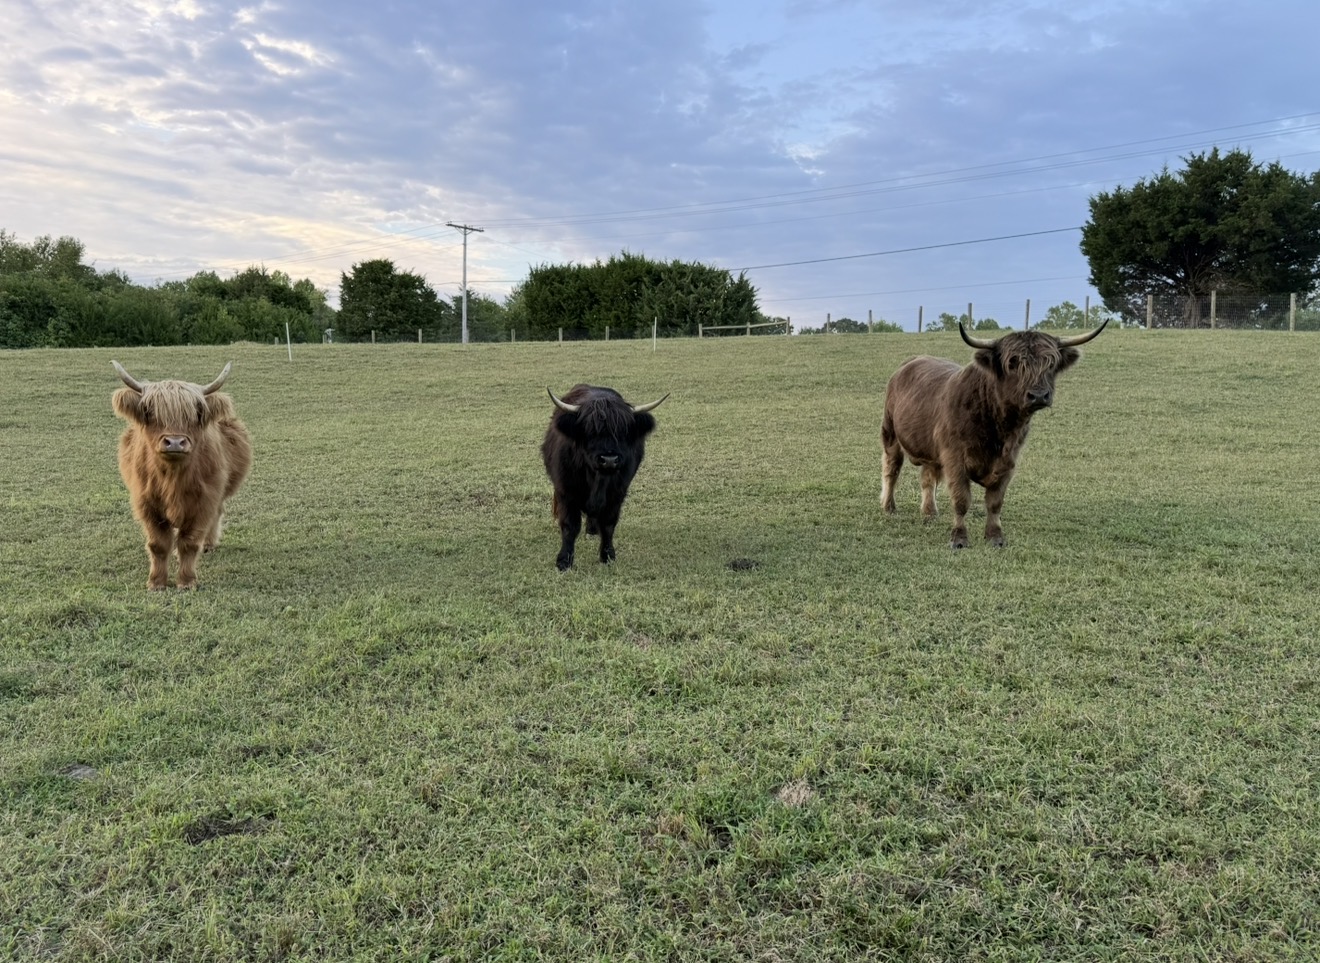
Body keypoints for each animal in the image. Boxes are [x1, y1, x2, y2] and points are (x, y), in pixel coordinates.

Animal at [110, 361, 253, 590]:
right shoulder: (146, 503)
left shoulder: (205, 501)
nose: (175, 442)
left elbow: (190, 542)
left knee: (216, 514)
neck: (172, 479)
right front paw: (156, 582)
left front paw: (186, 582)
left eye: (196, 413)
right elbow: (158, 544)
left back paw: (208, 544)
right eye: (149, 411)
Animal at [541, 384, 668, 571]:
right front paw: (564, 561)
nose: (609, 459)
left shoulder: (618, 493)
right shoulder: (566, 491)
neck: (597, 480)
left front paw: (607, 556)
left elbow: (608, 524)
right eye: (590, 430)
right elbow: (570, 525)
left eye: (623, 431)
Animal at [880, 321, 1107, 548]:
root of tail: (911, 361)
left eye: (1050, 363)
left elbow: (995, 502)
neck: (998, 427)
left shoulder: (1008, 462)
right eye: (1012, 363)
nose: (1039, 395)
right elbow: (961, 500)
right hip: (890, 434)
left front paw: (995, 537)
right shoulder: (954, 459)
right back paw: (888, 506)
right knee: (892, 469)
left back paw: (929, 512)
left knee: (928, 476)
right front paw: (959, 539)